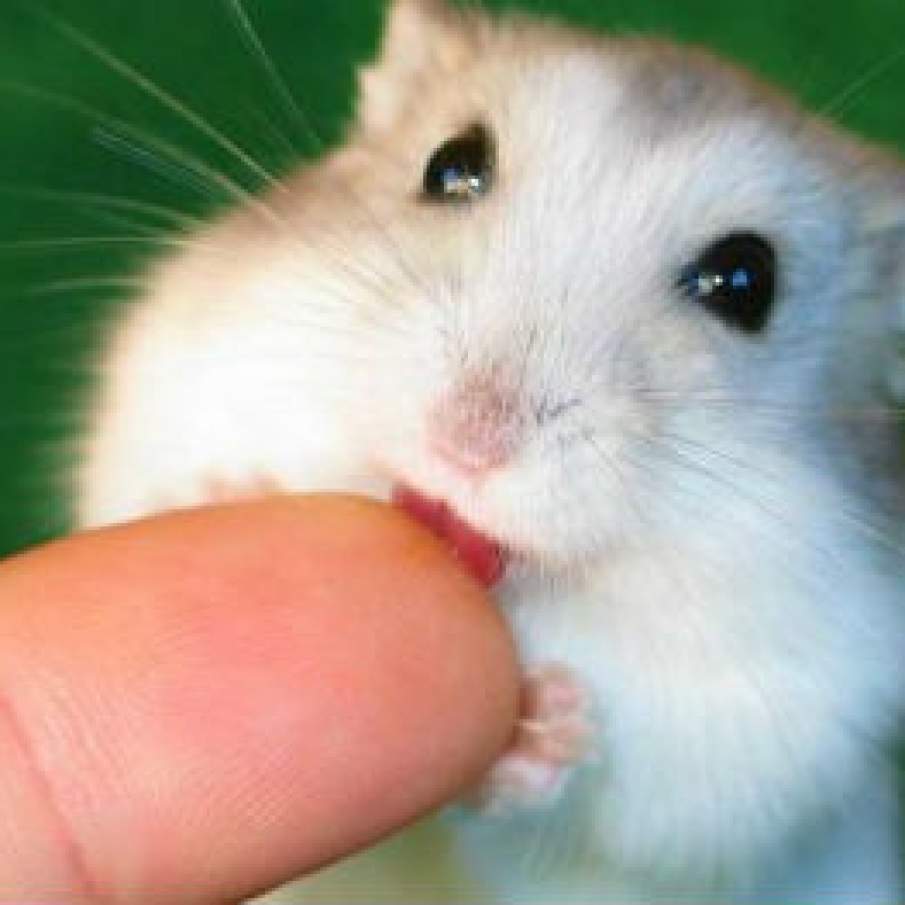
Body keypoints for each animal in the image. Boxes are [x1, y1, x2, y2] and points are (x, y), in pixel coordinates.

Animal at [78, 0, 905, 901]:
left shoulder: (762, 746)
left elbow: (604, 820)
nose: (466, 442)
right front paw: (227, 494)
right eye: (451, 165)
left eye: (745, 281)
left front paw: (541, 722)